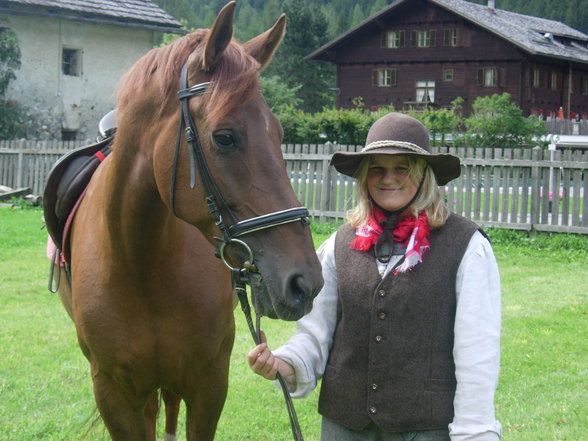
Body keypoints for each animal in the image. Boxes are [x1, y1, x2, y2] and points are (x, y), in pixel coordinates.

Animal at [53, 2, 324, 436]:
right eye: (225, 137)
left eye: (280, 135)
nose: (305, 282)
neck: (141, 263)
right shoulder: (113, 393)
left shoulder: (209, 383)